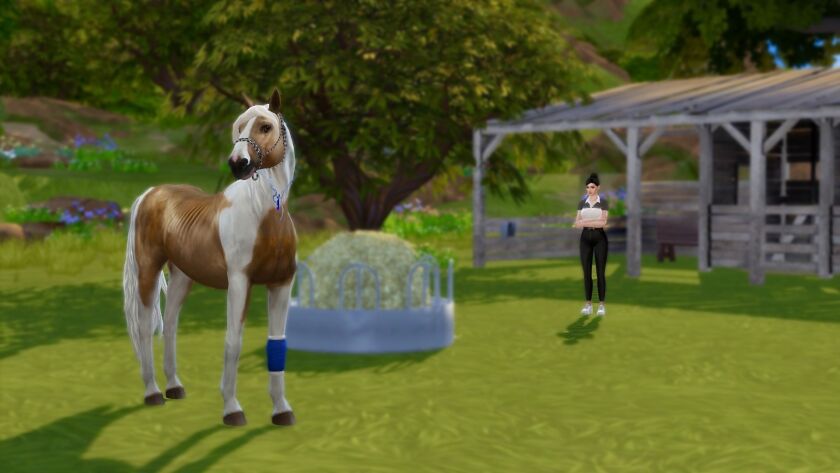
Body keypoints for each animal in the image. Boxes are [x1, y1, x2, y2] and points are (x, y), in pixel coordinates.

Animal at [122, 88, 298, 426]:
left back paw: (174, 387)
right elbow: (233, 341)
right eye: (239, 126)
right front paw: (232, 409)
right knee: (144, 327)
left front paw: (282, 410)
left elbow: (277, 343)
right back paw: (152, 393)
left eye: (266, 127)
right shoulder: (240, 282)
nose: (238, 164)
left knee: (171, 325)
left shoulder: (281, 284)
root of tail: (150, 193)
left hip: (182, 277)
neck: (264, 215)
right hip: (149, 271)